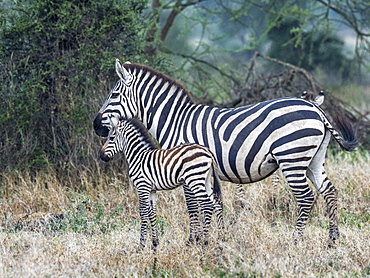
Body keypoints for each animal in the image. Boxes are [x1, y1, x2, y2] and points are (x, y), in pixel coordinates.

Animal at [99, 115, 224, 250]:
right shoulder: (152, 189)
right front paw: (155, 244)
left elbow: (143, 213)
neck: (138, 156)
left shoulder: (142, 187)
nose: (101, 156)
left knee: (207, 204)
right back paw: (220, 238)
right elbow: (152, 213)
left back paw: (205, 242)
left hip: (194, 179)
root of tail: (208, 151)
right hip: (205, 180)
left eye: (111, 138)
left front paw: (141, 245)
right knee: (216, 203)